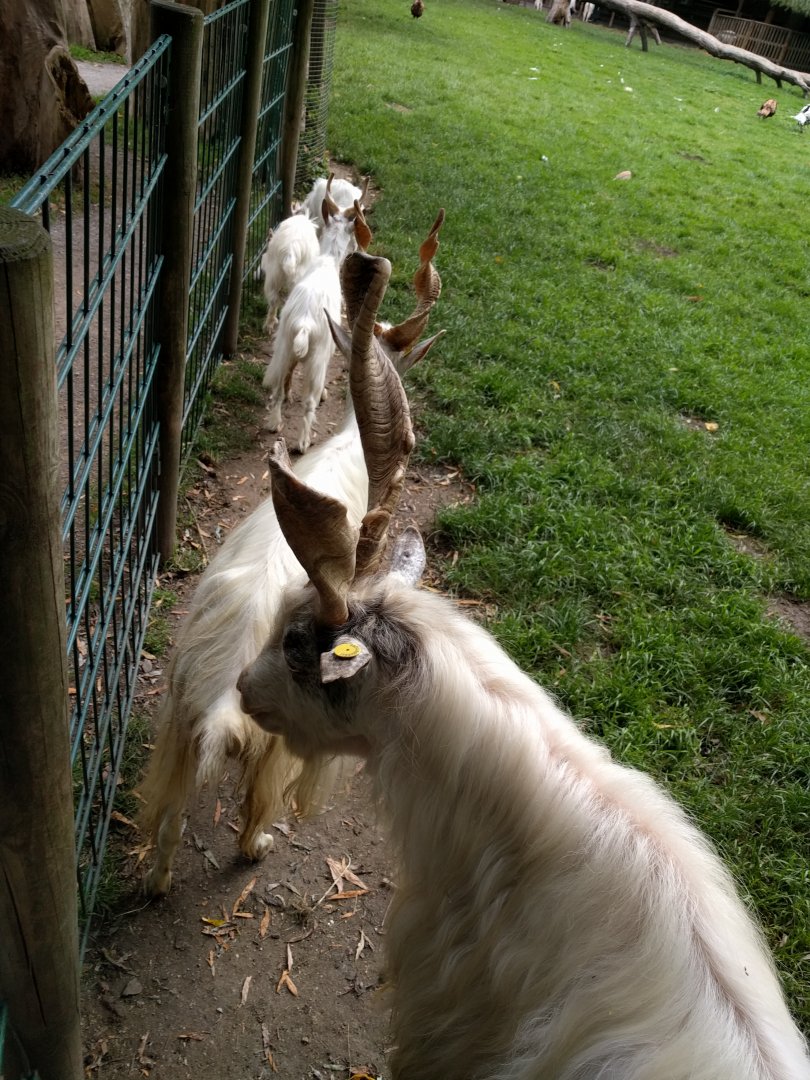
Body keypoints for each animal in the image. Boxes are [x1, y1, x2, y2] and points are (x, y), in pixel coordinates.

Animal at [138, 219, 445, 897]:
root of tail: (220, 696)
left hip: (176, 713)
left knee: (170, 812)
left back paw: (159, 880)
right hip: (275, 727)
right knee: (259, 795)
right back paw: (258, 845)